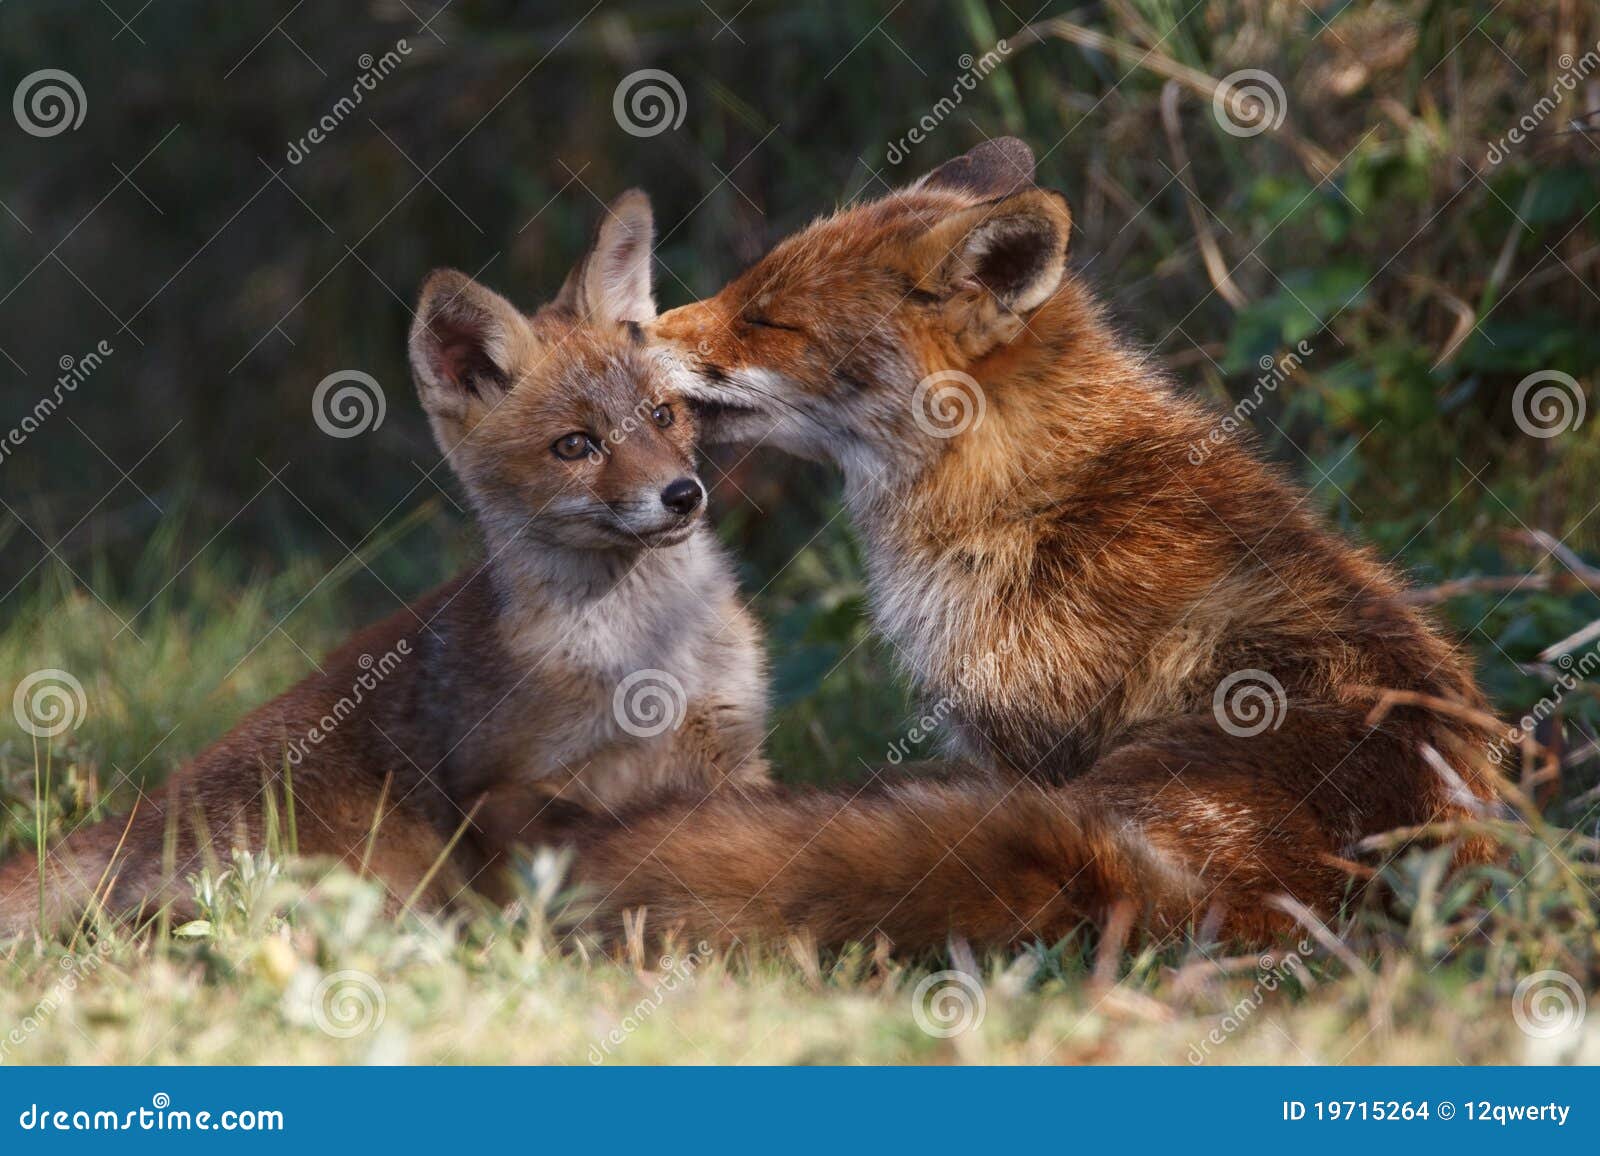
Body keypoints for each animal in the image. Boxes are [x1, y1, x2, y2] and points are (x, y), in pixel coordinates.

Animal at [0, 190, 769, 938]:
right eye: (576, 446)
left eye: (663, 416)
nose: (683, 495)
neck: (651, 656)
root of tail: (135, 817)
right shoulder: (514, 788)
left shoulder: (730, 763)